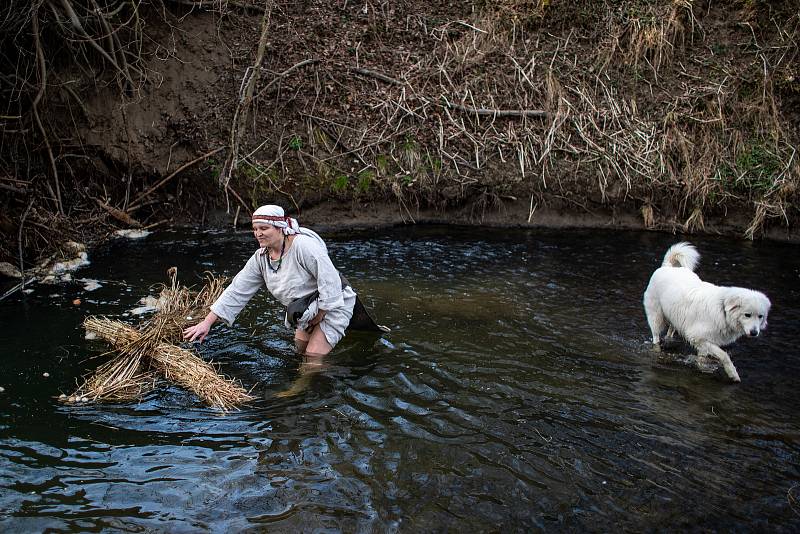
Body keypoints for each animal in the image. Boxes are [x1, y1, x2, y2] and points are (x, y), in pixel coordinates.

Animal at [644, 245, 768, 384]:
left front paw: (703, 367)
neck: (722, 310)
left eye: (760, 316)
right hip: (656, 317)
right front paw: (733, 374)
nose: (754, 333)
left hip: (675, 316)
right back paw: (657, 349)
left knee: (670, 330)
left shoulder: (704, 341)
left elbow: (703, 358)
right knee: (656, 337)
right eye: (747, 315)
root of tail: (667, 266)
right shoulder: (698, 337)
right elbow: (724, 355)